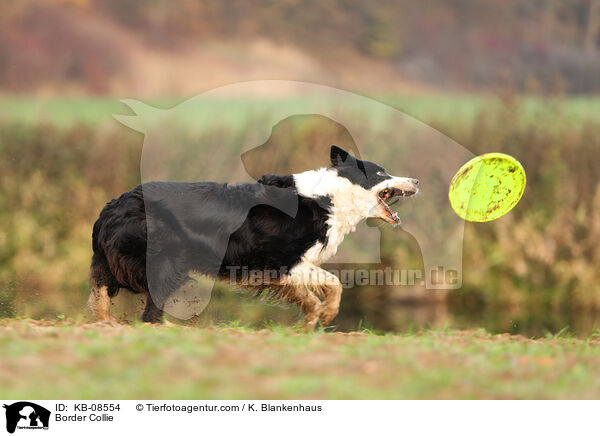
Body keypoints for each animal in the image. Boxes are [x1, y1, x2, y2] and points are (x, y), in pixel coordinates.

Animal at [90, 145, 418, 328]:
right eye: (382, 174)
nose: (416, 180)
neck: (330, 196)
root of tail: (111, 206)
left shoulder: (279, 271)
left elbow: (310, 295)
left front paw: (309, 322)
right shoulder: (283, 260)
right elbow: (335, 283)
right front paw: (326, 316)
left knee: (101, 291)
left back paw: (105, 324)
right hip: (168, 263)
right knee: (149, 313)